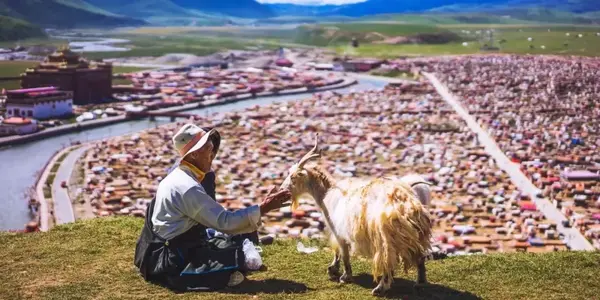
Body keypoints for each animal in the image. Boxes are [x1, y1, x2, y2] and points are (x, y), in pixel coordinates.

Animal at [282, 135, 432, 296]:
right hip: (416, 234)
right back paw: (420, 283)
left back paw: (380, 288)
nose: (282, 189)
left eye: (293, 177)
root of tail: (409, 204)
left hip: (385, 236)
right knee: (419, 256)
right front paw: (333, 270)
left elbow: (343, 253)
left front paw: (343, 276)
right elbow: (339, 251)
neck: (327, 194)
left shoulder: (338, 231)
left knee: (388, 260)